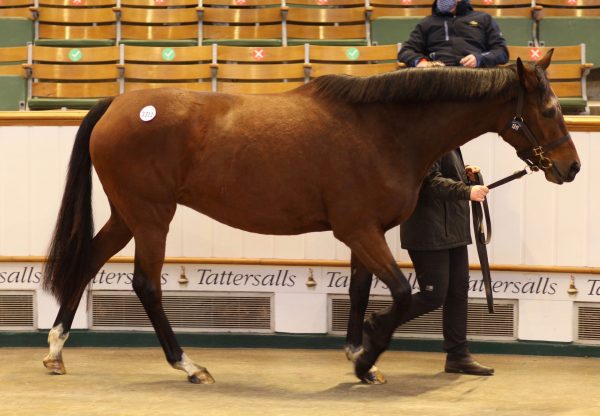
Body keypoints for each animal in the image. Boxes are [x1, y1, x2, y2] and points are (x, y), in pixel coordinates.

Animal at [41, 49, 576, 384]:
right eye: (550, 109)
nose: (571, 167)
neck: (383, 130)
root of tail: (119, 102)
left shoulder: (367, 233)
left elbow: (361, 291)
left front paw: (362, 356)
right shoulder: (357, 230)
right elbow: (406, 293)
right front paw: (366, 358)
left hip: (128, 214)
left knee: (89, 260)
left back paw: (55, 350)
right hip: (152, 217)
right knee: (146, 284)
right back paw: (189, 365)